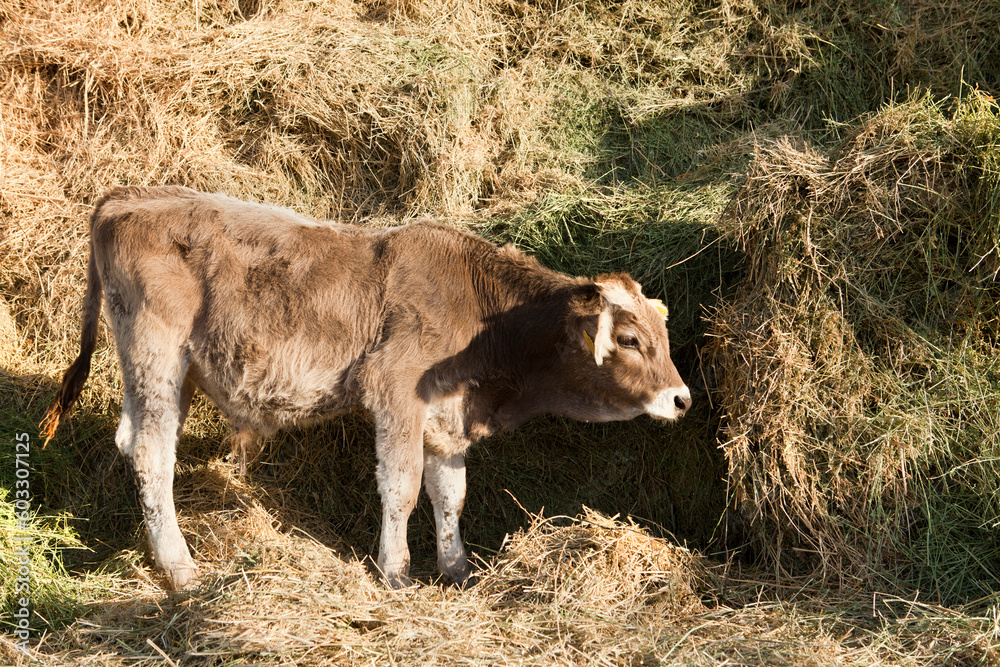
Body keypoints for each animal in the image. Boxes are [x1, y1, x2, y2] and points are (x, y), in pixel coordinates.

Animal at [41, 185, 691, 590]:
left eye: (663, 333)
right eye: (630, 339)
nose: (682, 398)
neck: (483, 316)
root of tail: (132, 195)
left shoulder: (445, 415)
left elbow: (450, 495)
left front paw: (455, 569)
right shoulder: (398, 394)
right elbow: (402, 489)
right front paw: (396, 571)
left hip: (164, 376)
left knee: (134, 442)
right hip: (156, 355)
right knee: (152, 454)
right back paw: (179, 569)